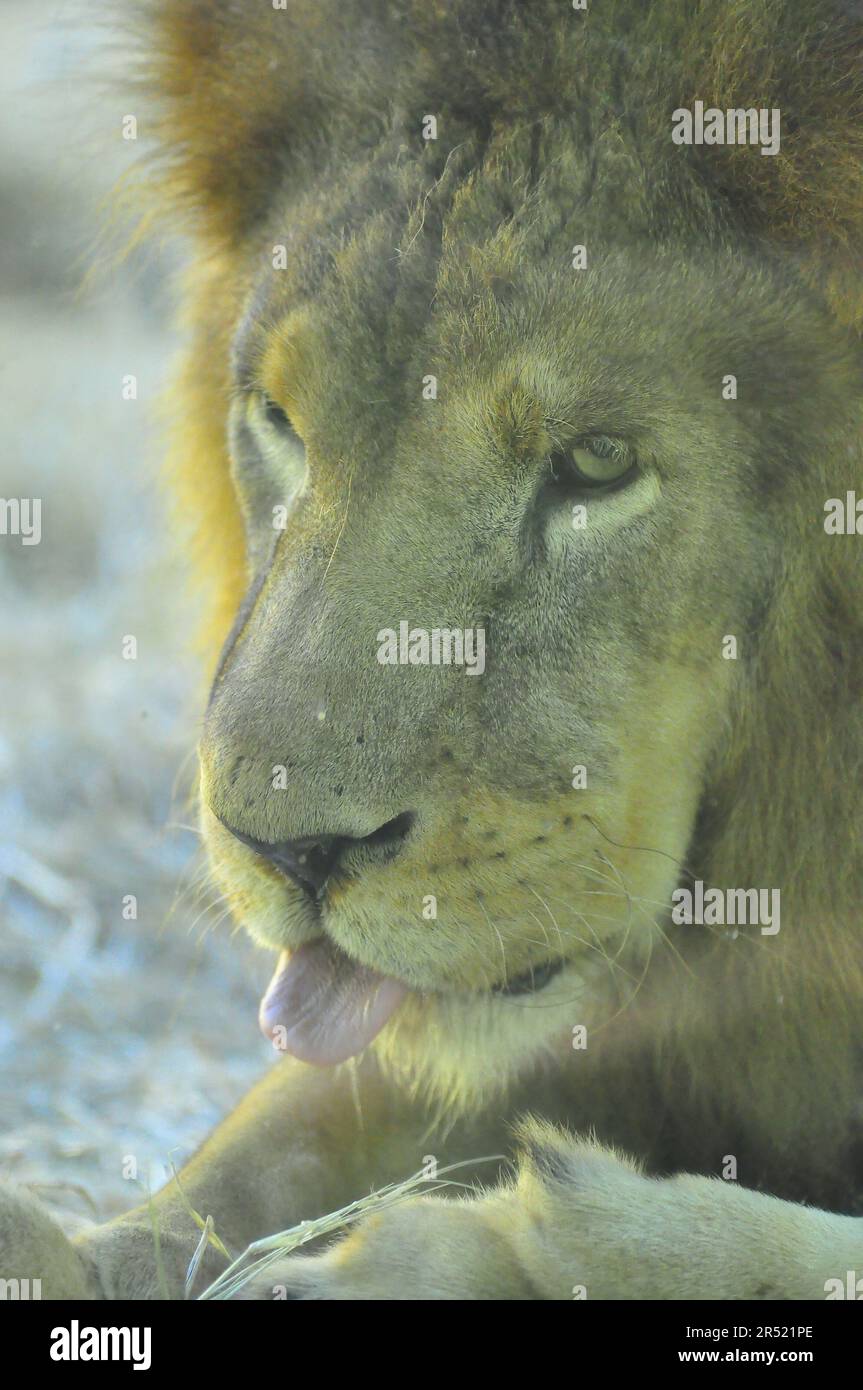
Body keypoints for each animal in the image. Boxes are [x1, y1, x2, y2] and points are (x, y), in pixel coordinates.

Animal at [2, 0, 863, 1301]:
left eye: (597, 461)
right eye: (278, 421)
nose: (289, 852)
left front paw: (503, 1243)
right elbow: (256, 1150)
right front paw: (67, 1249)